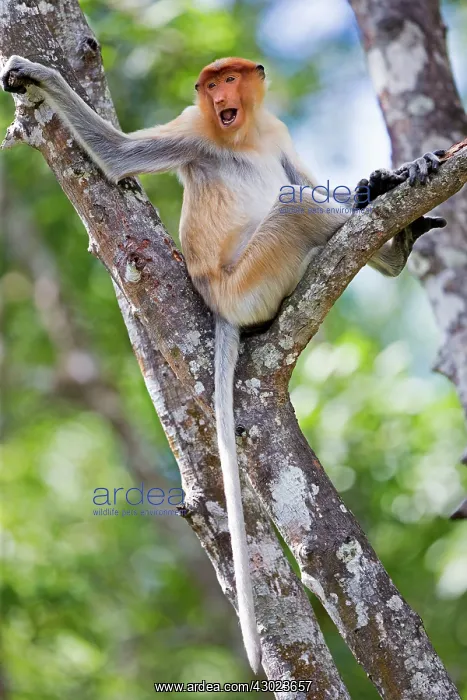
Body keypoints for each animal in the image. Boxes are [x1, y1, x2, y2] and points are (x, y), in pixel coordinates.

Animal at [1, 54, 446, 673]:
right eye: (208, 84)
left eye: (229, 79)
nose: (218, 96)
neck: (240, 133)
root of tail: (221, 307)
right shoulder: (195, 127)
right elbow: (117, 156)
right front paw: (33, 73)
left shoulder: (274, 131)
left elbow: (304, 175)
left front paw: (384, 180)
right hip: (252, 279)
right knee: (293, 206)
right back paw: (392, 243)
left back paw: (390, 227)